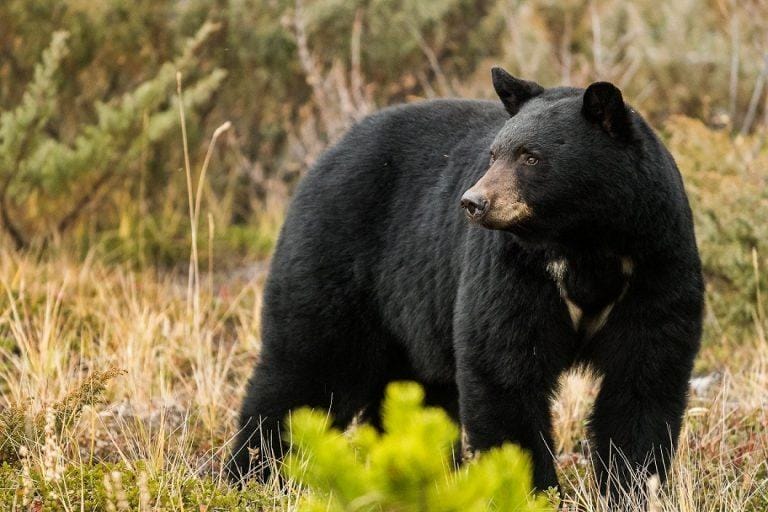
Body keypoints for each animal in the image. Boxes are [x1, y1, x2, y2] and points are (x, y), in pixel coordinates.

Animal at [228, 67, 704, 504]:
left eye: (531, 157)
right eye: (494, 154)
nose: (474, 202)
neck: (585, 243)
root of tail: (328, 152)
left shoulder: (655, 263)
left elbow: (643, 379)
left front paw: (634, 489)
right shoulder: (515, 270)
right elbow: (504, 370)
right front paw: (529, 489)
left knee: (415, 393)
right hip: (337, 254)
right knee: (307, 368)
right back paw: (254, 474)